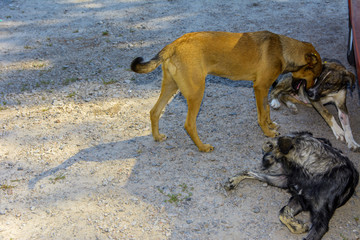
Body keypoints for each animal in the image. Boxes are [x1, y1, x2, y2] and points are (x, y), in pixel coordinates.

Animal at [131, 31, 322, 152]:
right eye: (316, 74)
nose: (312, 92)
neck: (283, 49)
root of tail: (174, 44)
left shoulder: (264, 88)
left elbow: (266, 109)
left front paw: (271, 124)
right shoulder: (260, 87)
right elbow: (262, 113)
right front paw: (267, 132)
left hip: (171, 86)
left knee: (154, 111)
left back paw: (157, 137)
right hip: (196, 93)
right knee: (189, 124)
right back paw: (203, 147)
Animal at [225, 131, 358, 240]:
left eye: (270, 153)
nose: (263, 161)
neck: (312, 172)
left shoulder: (321, 222)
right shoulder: (298, 198)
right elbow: (283, 212)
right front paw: (297, 226)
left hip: (281, 179)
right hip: (282, 179)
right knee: (251, 172)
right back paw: (233, 180)